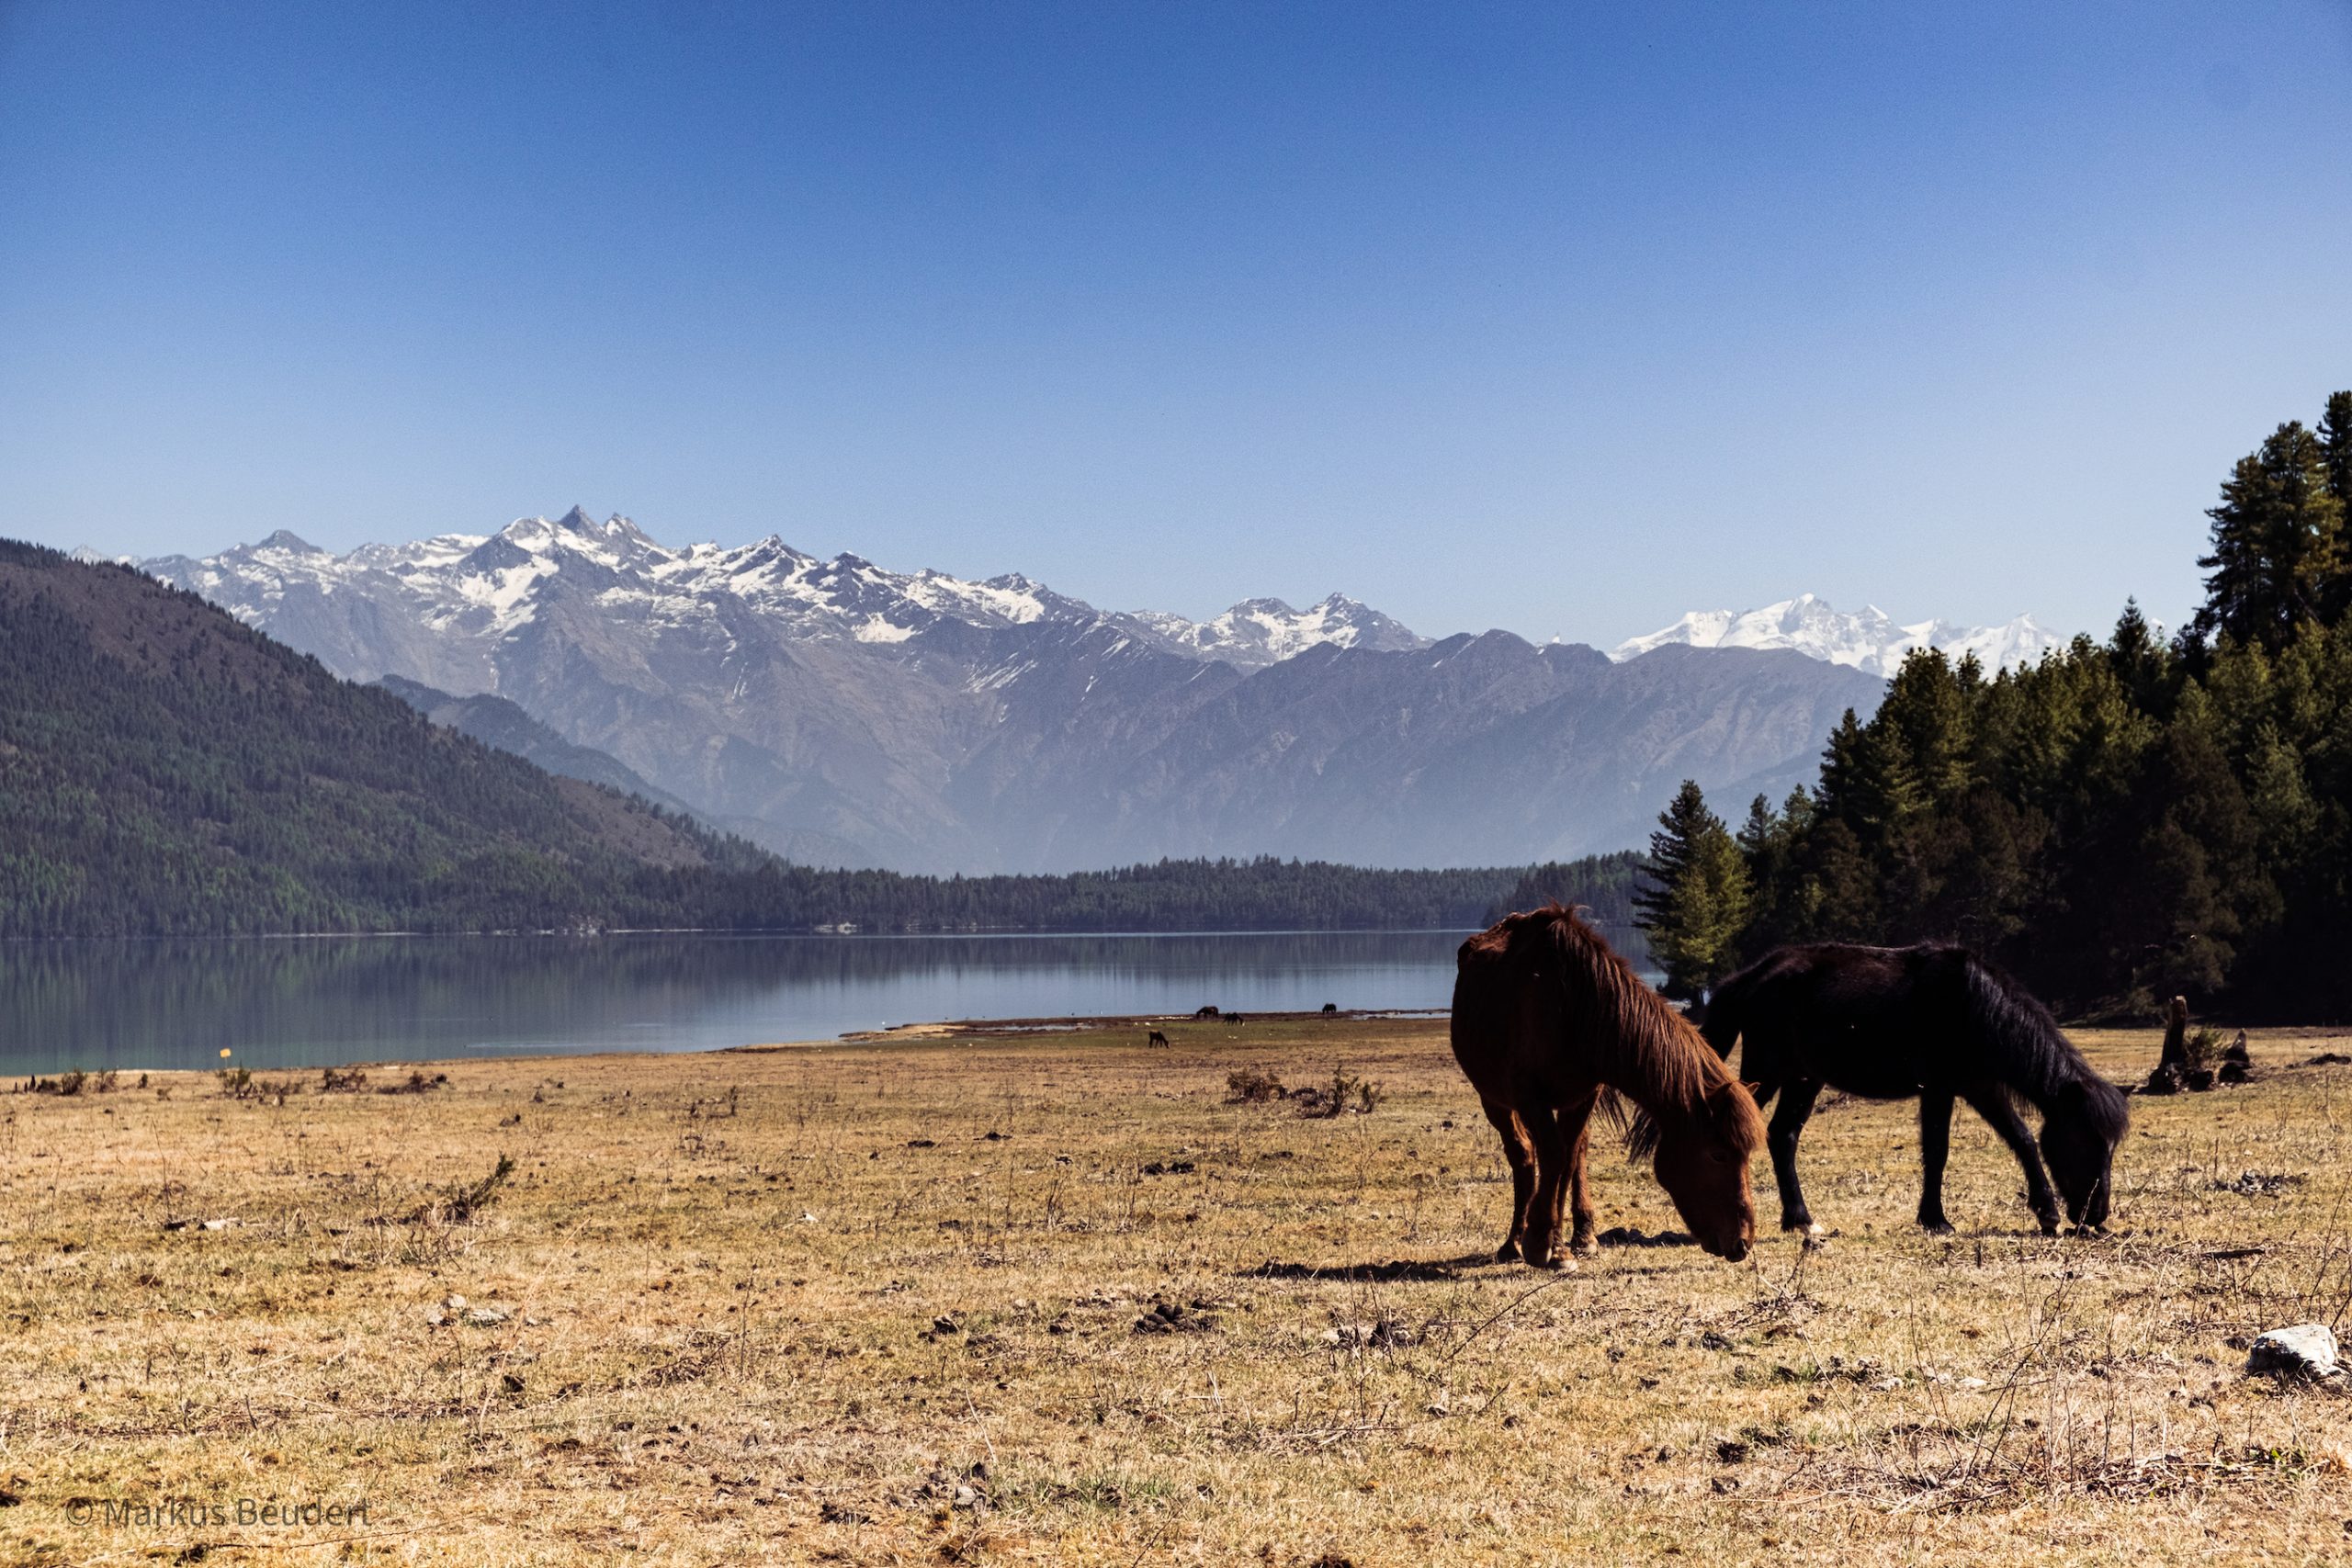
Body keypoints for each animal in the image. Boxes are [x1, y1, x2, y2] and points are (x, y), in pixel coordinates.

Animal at [1448, 907, 1769, 1259]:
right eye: (1718, 1154)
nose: (1742, 1242)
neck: (1574, 1006)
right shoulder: (1529, 1097)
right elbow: (1550, 1156)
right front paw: (1539, 1242)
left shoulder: (1584, 1096)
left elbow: (1568, 1158)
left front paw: (1558, 1245)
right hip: (1494, 1100)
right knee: (1523, 1156)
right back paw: (1513, 1243)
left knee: (1574, 1153)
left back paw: (1583, 1235)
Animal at [1693, 944, 2135, 1241]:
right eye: (2084, 1142)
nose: (2097, 1215)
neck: (1973, 1005)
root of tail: (1749, 979)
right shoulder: (1941, 1089)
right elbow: (1938, 1150)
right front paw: (1936, 1219)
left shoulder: (1982, 1087)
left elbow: (2022, 1138)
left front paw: (2046, 1214)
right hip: (1767, 1071)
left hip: (1803, 1079)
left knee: (1781, 1136)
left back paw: (1801, 1220)